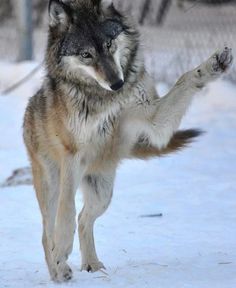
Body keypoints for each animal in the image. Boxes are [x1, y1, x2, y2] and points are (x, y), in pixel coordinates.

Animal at [23, 0, 233, 284]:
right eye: (86, 54)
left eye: (109, 44)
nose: (117, 83)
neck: (105, 98)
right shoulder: (72, 155)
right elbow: (64, 217)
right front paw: (61, 258)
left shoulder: (154, 121)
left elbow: (184, 79)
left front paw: (214, 65)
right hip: (52, 184)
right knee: (49, 231)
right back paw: (59, 271)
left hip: (102, 192)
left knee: (83, 218)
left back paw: (91, 265)